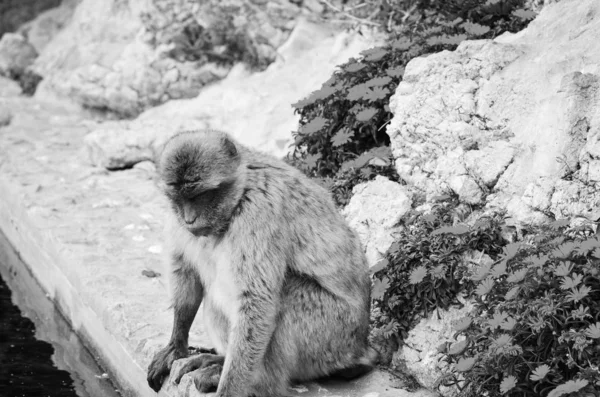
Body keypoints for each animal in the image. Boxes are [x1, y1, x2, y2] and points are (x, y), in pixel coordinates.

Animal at [146, 131, 378, 396]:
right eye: (179, 198)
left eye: (199, 196)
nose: (189, 218)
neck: (238, 194)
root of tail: (360, 349)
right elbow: (185, 269)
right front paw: (176, 345)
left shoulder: (258, 210)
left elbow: (256, 299)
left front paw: (229, 390)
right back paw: (220, 361)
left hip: (332, 336)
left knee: (286, 295)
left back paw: (258, 381)